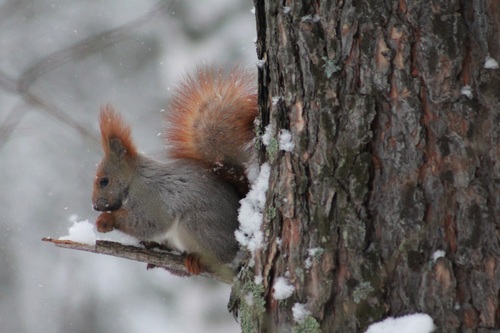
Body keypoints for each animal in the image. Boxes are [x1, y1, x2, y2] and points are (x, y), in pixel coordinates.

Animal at [91, 66, 258, 276]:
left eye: (104, 181)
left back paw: (197, 260)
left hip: (195, 226)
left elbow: (148, 222)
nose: (95, 206)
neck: (134, 179)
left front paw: (107, 220)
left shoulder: (152, 197)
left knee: (220, 258)